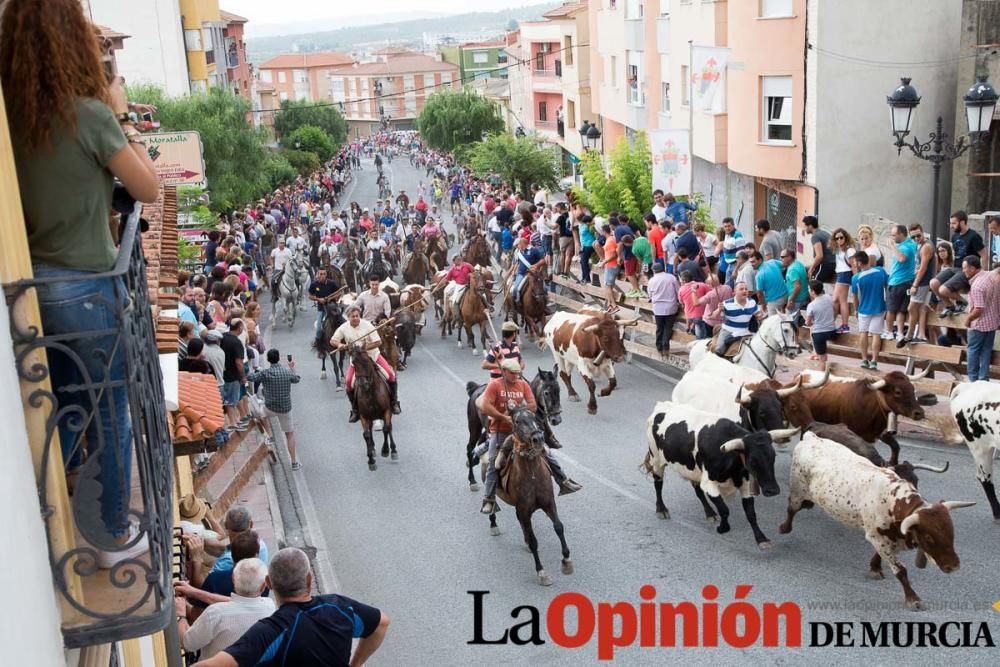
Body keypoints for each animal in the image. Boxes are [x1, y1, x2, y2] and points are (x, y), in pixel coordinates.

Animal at [350, 342, 396, 472]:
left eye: (366, 361)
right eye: (354, 362)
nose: (362, 384)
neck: (370, 392)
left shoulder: (387, 411)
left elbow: (386, 429)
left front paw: (385, 450)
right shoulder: (364, 416)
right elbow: (366, 435)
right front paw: (371, 460)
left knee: (389, 427)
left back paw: (393, 450)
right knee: (370, 431)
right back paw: (373, 448)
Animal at [484, 402, 572, 584]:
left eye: (535, 417)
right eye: (517, 421)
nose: (538, 439)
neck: (532, 474)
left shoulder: (548, 503)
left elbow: (559, 527)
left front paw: (567, 561)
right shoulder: (523, 509)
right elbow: (534, 541)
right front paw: (541, 572)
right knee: (492, 503)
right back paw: (493, 522)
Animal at [644, 402, 800, 548]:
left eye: (773, 457)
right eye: (752, 460)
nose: (773, 490)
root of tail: (662, 405)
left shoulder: (744, 483)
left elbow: (751, 513)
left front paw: (761, 538)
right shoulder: (709, 483)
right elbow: (724, 509)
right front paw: (723, 528)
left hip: (693, 470)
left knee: (697, 490)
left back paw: (710, 513)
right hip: (656, 460)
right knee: (658, 484)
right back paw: (661, 509)